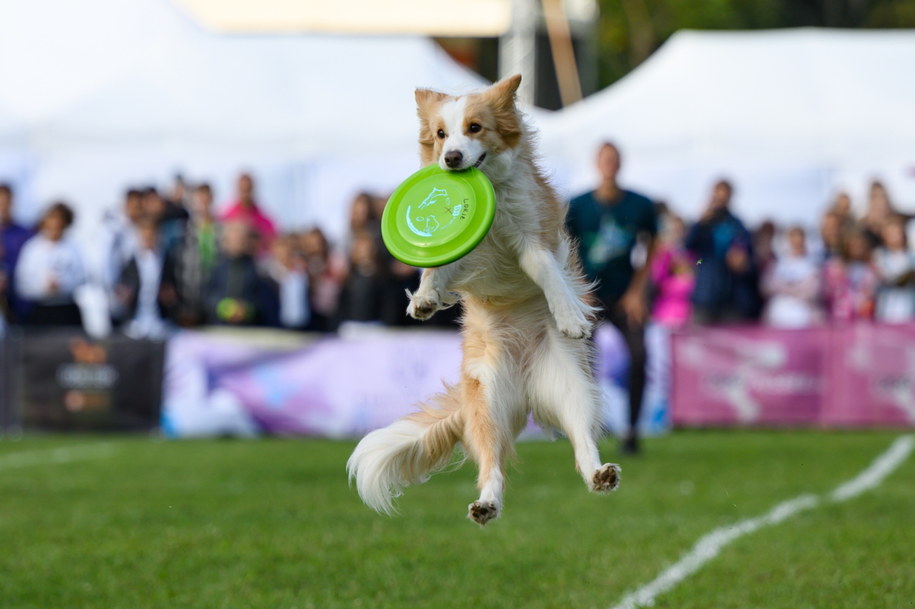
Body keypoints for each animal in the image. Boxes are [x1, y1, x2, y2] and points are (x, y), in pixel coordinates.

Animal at [348, 75, 620, 524]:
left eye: (475, 128)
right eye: (441, 134)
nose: (451, 158)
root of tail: (527, 383)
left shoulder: (530, 237)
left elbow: (548, 273)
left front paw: (569, 316)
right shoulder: (464, 258)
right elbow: (433, 270)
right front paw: (423, 300)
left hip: (572, 385)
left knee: (582, 440)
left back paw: (600, 474)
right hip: (487, 400)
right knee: (492, 463)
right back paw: (486, 504)